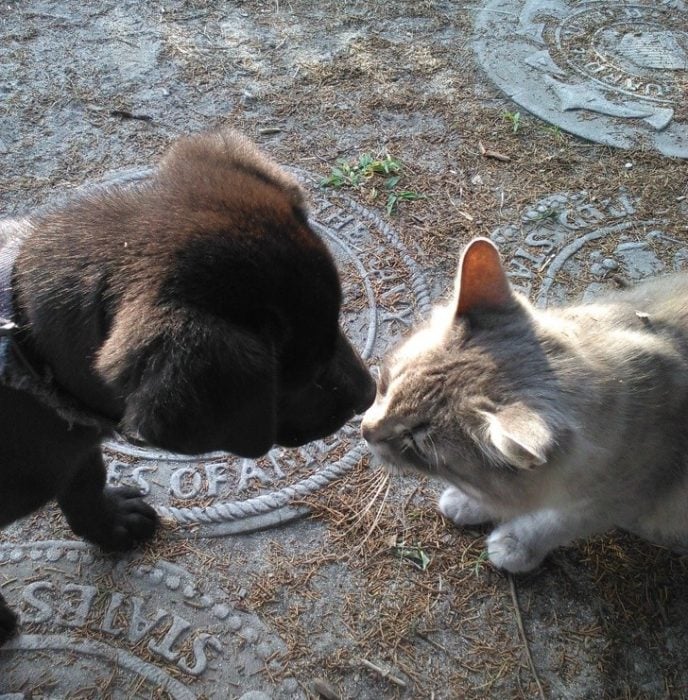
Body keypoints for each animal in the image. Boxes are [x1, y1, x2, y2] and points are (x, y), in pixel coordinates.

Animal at [0, 129, 376, 644]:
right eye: (305, 375)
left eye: (338, 327)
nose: (372, 393)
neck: (26, 349)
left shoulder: (79, 445)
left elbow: (85, 482)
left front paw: (111, 525)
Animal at [360, 238, 688, 572]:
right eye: (385, 385)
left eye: (415, 442)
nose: (364, 430)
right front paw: (469, 502)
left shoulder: (623, 496)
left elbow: (553, 522)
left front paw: (515, 544)